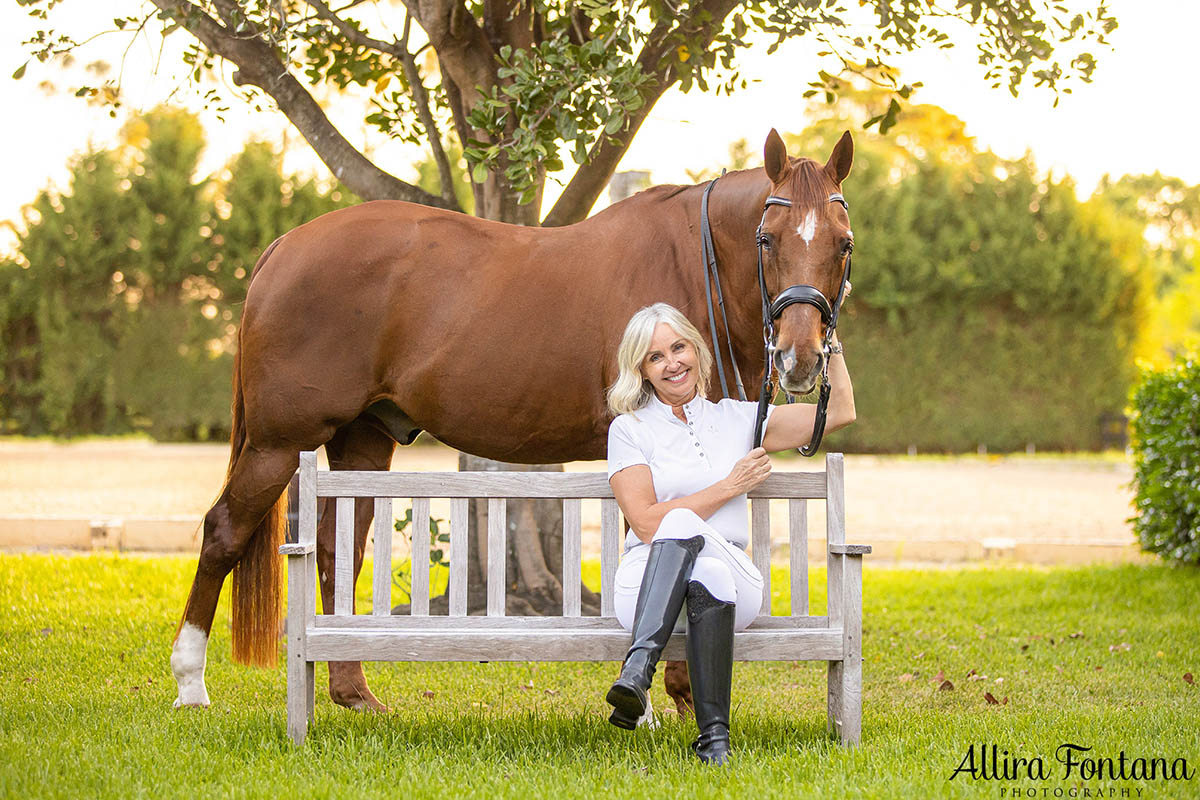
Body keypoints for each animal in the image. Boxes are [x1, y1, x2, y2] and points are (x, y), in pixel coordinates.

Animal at [174, 131, 859, 714]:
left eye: (843, 243)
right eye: (768, 239)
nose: (800, 358)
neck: (693, 264)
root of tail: (284, 247)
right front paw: (678, 694)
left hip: (360, 441)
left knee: (340, 545)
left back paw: (353, 693)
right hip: (278, 443)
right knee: (224, 531)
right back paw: (190, 684)